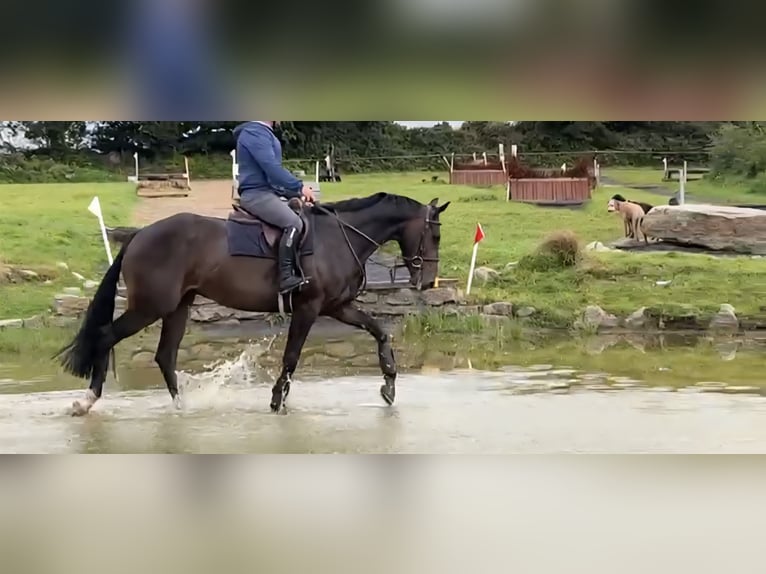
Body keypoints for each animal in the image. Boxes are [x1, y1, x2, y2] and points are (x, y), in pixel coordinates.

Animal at [55, 192, 451, 416]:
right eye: (434, 234)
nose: (426, 281)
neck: (339, 238)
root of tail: (140, 235)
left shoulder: (337, 307)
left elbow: (380, 331)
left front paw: (389, 385)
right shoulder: (309, 308)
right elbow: (291, 357)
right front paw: (277, 401)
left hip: (178, 307)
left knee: (165, 356)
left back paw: (182, 408)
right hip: (150, 307)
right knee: (106, 336)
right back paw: (87, 401)